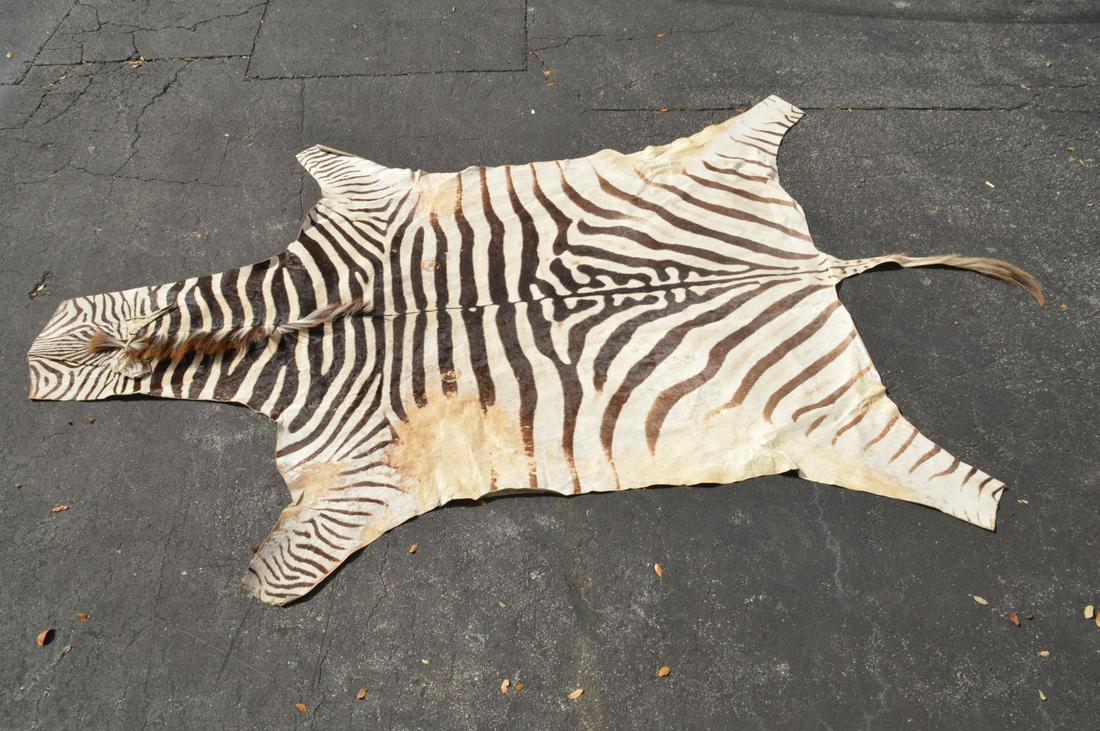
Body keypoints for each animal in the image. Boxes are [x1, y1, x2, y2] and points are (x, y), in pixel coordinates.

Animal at [28, 96, 1041, 605]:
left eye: (75, 358)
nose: (32, 356)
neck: (317, 328)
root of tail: (810, 264)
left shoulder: (363, 477)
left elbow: (279, 577)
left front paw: (257, 585)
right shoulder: (362, 207)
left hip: (824, 422)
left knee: (940, 478)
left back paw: (983, 499)